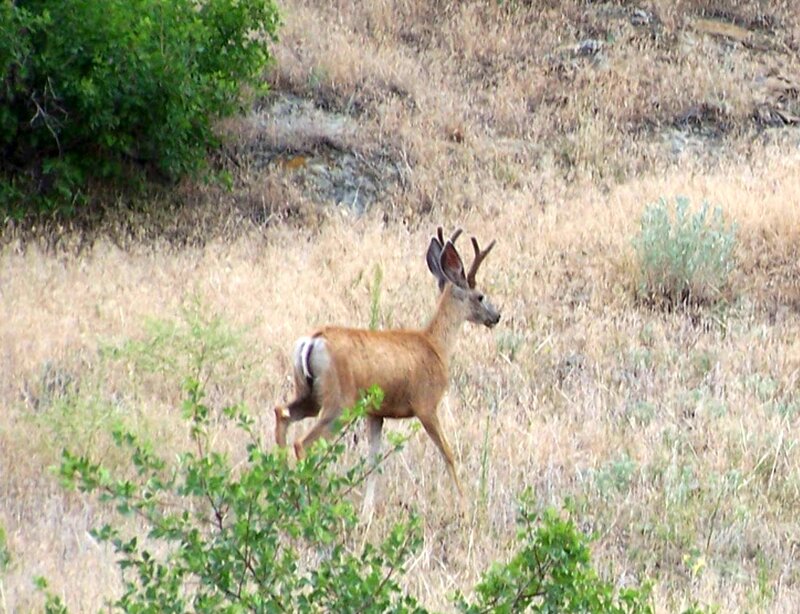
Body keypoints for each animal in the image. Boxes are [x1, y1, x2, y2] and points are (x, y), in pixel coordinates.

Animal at [273, 227, 500, 512]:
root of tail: (312, 341)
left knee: (281, 413)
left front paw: (367, 511)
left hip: (310, 394)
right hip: (340, 402)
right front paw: (465, 504)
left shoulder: (375, 413)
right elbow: (448, 453)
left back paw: (281, 483)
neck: (436, 346)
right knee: (303, 443)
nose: (496, 316)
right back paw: (306, 497)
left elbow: (374, 461)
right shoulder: (426, 404)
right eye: (480, 296)